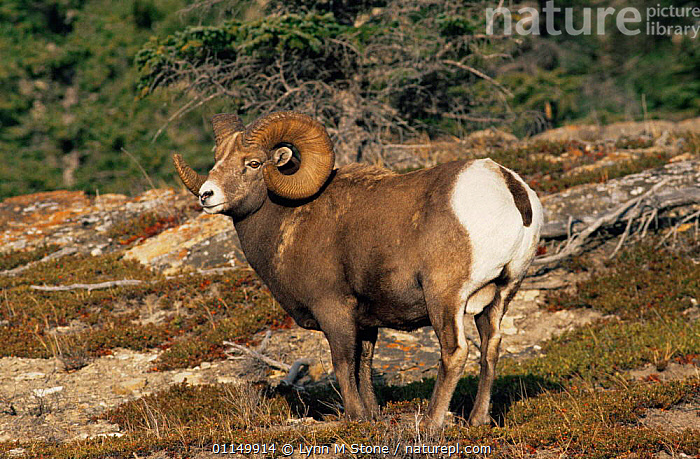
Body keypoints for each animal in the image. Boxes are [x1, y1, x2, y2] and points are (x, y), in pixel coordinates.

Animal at [173, 111, 543, 429]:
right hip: (500, 294)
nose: (207, 195)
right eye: (218, 159)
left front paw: (354, 418)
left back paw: (432, 423)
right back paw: (477, 420)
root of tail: (509, 188)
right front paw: (373, 416)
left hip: (445, 298)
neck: (289, 219)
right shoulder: (366, 323)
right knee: (491, 346)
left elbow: (343, 364)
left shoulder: (334, 311)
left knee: (455, 352)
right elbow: (364, 365)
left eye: (253, 163)